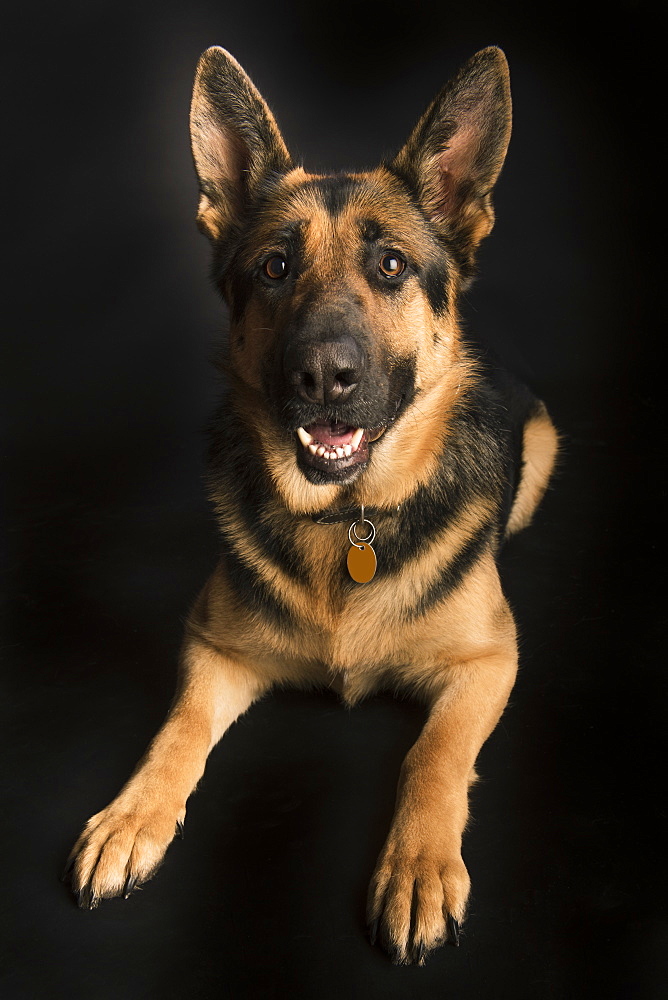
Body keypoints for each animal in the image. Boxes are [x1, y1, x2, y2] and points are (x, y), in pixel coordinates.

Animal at [66, 45, 560, 960]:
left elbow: (433, 755)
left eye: (391, 266)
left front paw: (417, 867)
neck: (346, 521)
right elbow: (176, 730)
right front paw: (130, 817)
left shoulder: (488, 663)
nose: (324, 376)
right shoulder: (212, 647)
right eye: (275, 267)